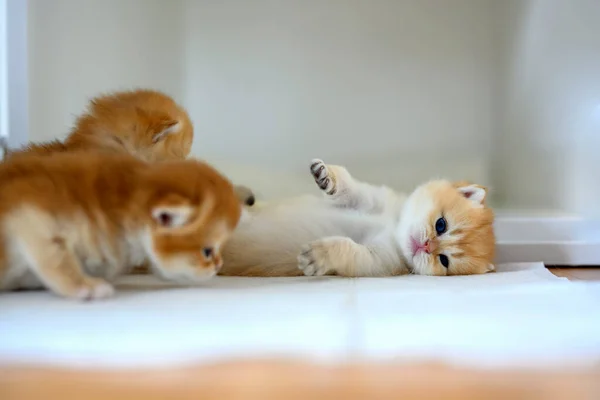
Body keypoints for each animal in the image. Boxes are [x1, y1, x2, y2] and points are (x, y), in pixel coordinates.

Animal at [220, 158, 496, 276]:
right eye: (441, 225)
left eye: (444, 260)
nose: (426, 246)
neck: (393, 225)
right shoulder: (369, 199)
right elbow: (349, 187)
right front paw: (327, 176)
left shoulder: (378, 259)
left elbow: (349, 249)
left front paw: (320, 255)